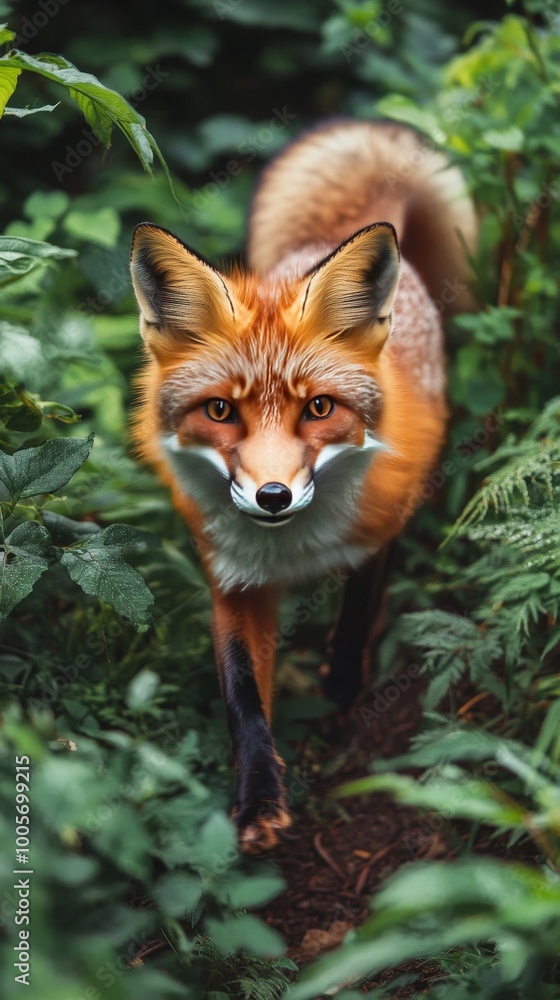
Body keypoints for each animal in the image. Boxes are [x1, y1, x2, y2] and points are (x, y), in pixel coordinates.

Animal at [130, 119, 476, 853]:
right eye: (220, 411)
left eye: (318, 408)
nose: (272, 497)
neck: (292, 548)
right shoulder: (232, 581)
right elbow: (242, 699)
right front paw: (258, 800)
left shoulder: (377, 537)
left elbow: (351, 626)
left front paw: (342, 697)